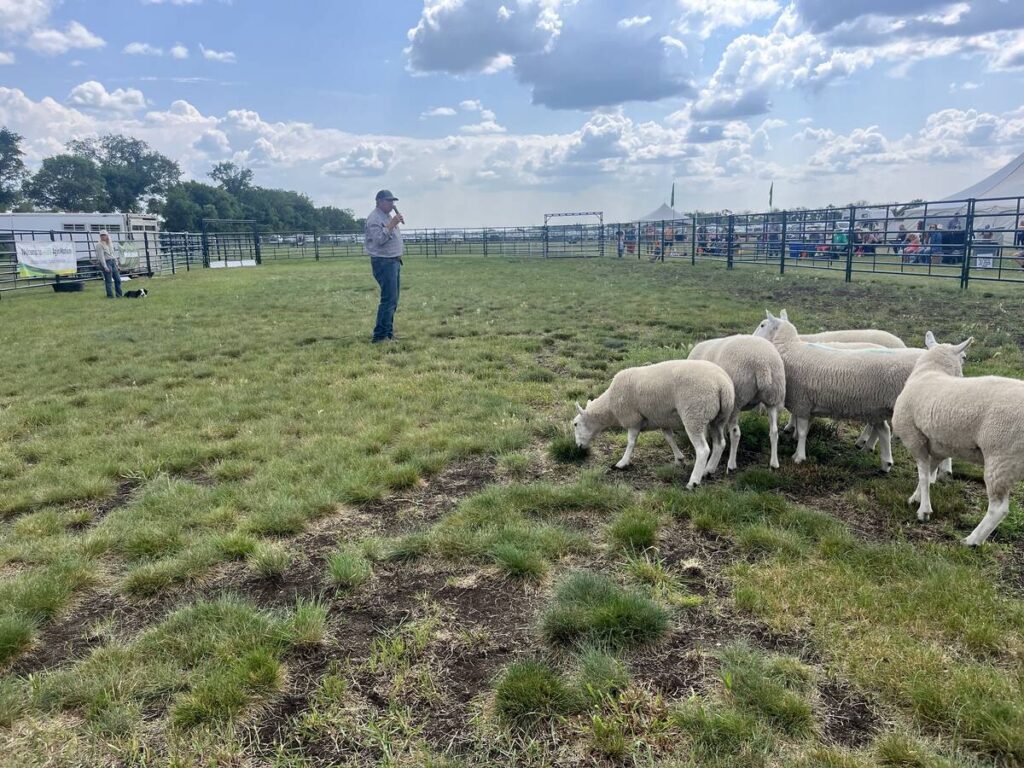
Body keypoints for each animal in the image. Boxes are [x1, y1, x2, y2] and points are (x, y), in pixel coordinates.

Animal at [572, 360, 735, 489]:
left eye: (575, 424)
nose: (578, 447)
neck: (609, 407)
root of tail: (722, 384)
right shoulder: (662, 419)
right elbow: (669, 438)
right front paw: (679, 459)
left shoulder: (633, 418)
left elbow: (631, 442)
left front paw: (622, 463)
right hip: (719, 418)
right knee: (720, 443)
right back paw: (708, 470)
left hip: (694, 414)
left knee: (703, 450)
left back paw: (693, 481)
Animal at [687, 335, 786, 470]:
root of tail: (763, 364)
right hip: (773, 398)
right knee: (774, 431)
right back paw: (774, 463)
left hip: (737, 399)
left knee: (736, 433)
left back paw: (731, 464)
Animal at [753, 311, 924, 469]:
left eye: (762, 325)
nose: (751, 337)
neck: (790, 347)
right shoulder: (808, 403)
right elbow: (805, 429)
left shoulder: (802, 401)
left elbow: (802, 431)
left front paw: (799, 456)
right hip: (877, 406)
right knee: (883, 429)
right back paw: (881, 460)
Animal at [892, 333, 1024, 546]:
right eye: (964, 357)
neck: (931, 371)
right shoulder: (938, 445)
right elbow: (929, 473)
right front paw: (916, 498)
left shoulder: (914, 438)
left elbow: (923, 474)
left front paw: (924, 511)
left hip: (1002, 457)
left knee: (999, 508)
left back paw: (972, 540)